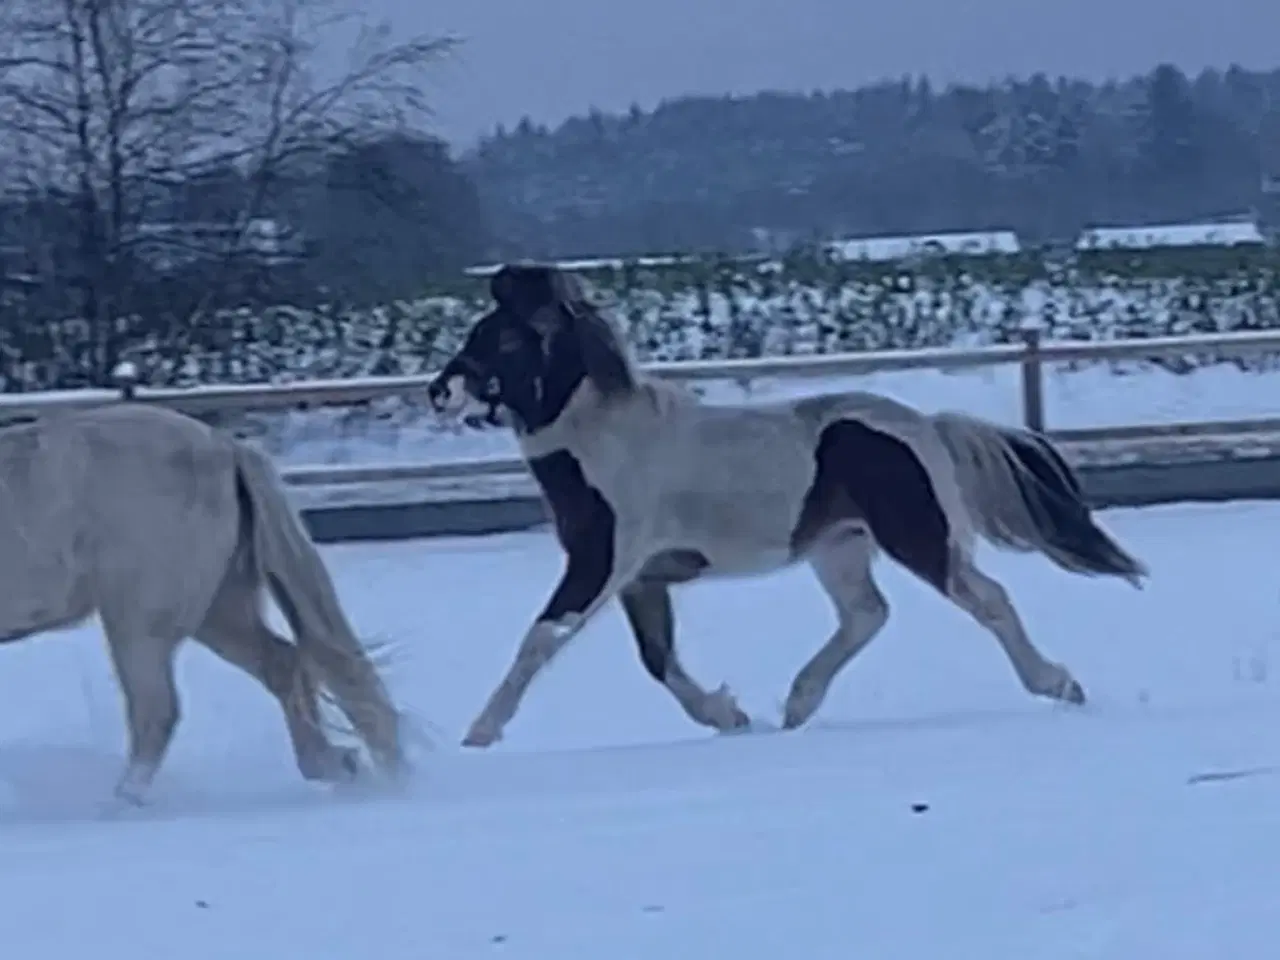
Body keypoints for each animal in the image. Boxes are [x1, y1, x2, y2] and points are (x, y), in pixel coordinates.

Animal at [0, 404, 404, 803]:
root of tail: (225, 447)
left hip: (140, 623)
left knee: (157, 711)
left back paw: (122, 804)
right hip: (217, 610)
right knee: (283, 664)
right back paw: (338, 764)